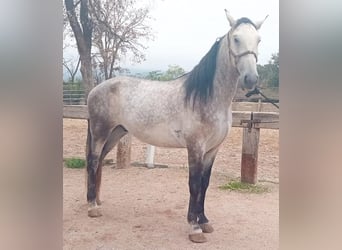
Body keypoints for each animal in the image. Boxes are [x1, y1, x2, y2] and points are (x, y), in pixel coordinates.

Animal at [85, 10, 268, 243]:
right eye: (236, 38)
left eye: (259, 40)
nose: (250, 79)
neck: (208, 97)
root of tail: (95, 89)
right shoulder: (195, 147)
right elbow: (194, 184)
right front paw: (194, 228)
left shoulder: (212, 150)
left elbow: (205, 184)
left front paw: (204, 221)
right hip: (100, 132)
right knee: (92, 161)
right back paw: (92, 207)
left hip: (116, 133)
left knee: (99, 161)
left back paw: (97, 201)